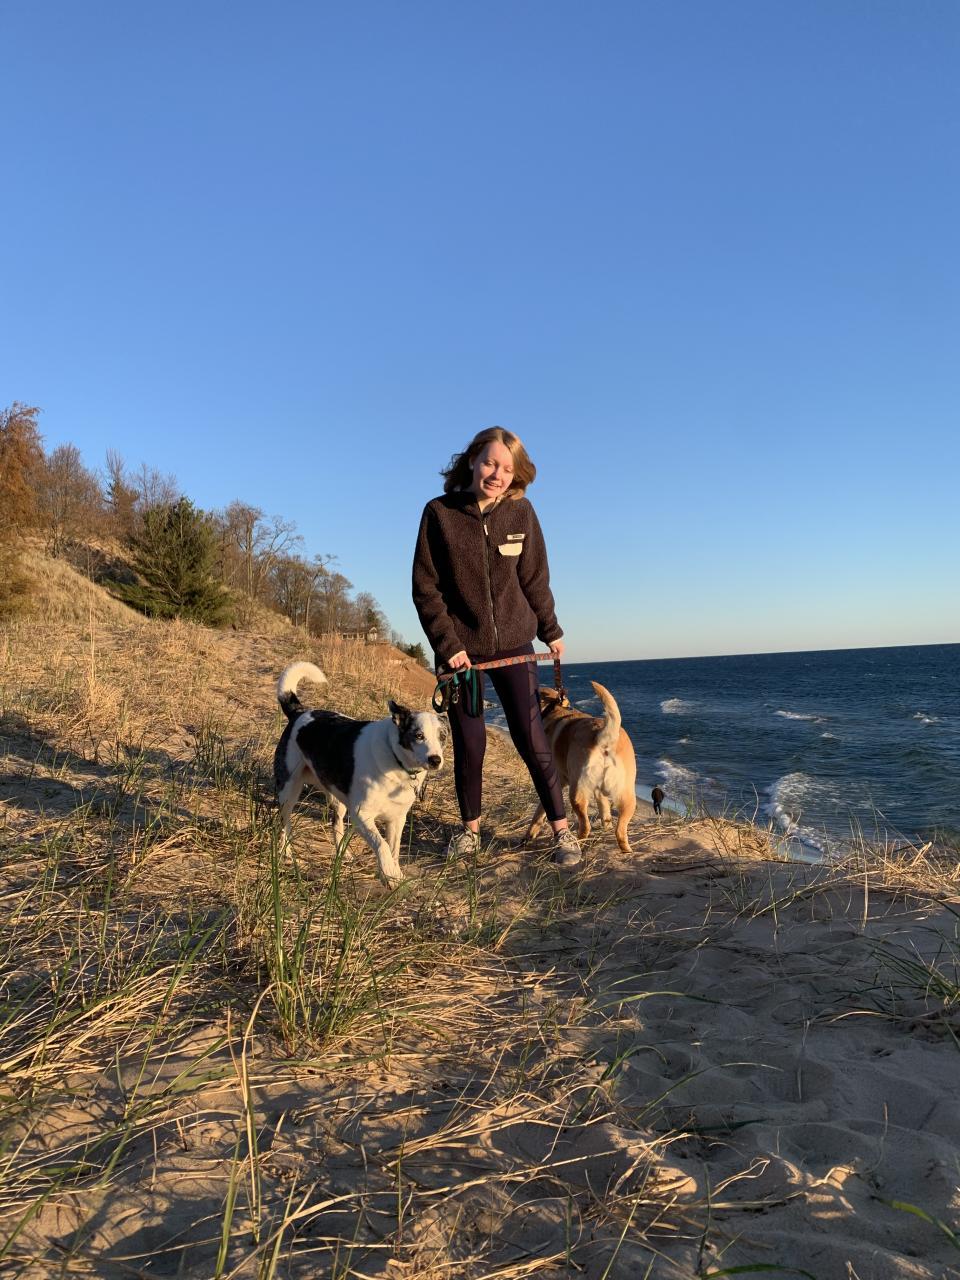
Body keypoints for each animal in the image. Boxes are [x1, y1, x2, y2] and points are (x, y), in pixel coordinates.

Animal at [273, 661, 445, 885]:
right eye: (418, 735)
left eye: (442, 737)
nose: (435, 760)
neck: (397, 762)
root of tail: (300, 712)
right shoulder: (361, 814)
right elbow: (382, 845)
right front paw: (388, 873)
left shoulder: (397, 819)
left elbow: (393, 849)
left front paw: (394, 873)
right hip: (289, 790)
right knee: (284, 822)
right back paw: (285, 853)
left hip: (337, 797)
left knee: (336, 824)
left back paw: (342, 854)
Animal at [528, 681, 637, 854]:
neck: (554, 710)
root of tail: (603, 737)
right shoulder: (598, 790)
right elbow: (604, 807)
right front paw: (606, 824)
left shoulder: (555, 780)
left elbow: (540, 811)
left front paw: (530, 833)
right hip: (627, 797)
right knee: (620, 831)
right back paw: (626, 850)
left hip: (576, 793)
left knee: (585, 827)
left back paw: (576, 845)